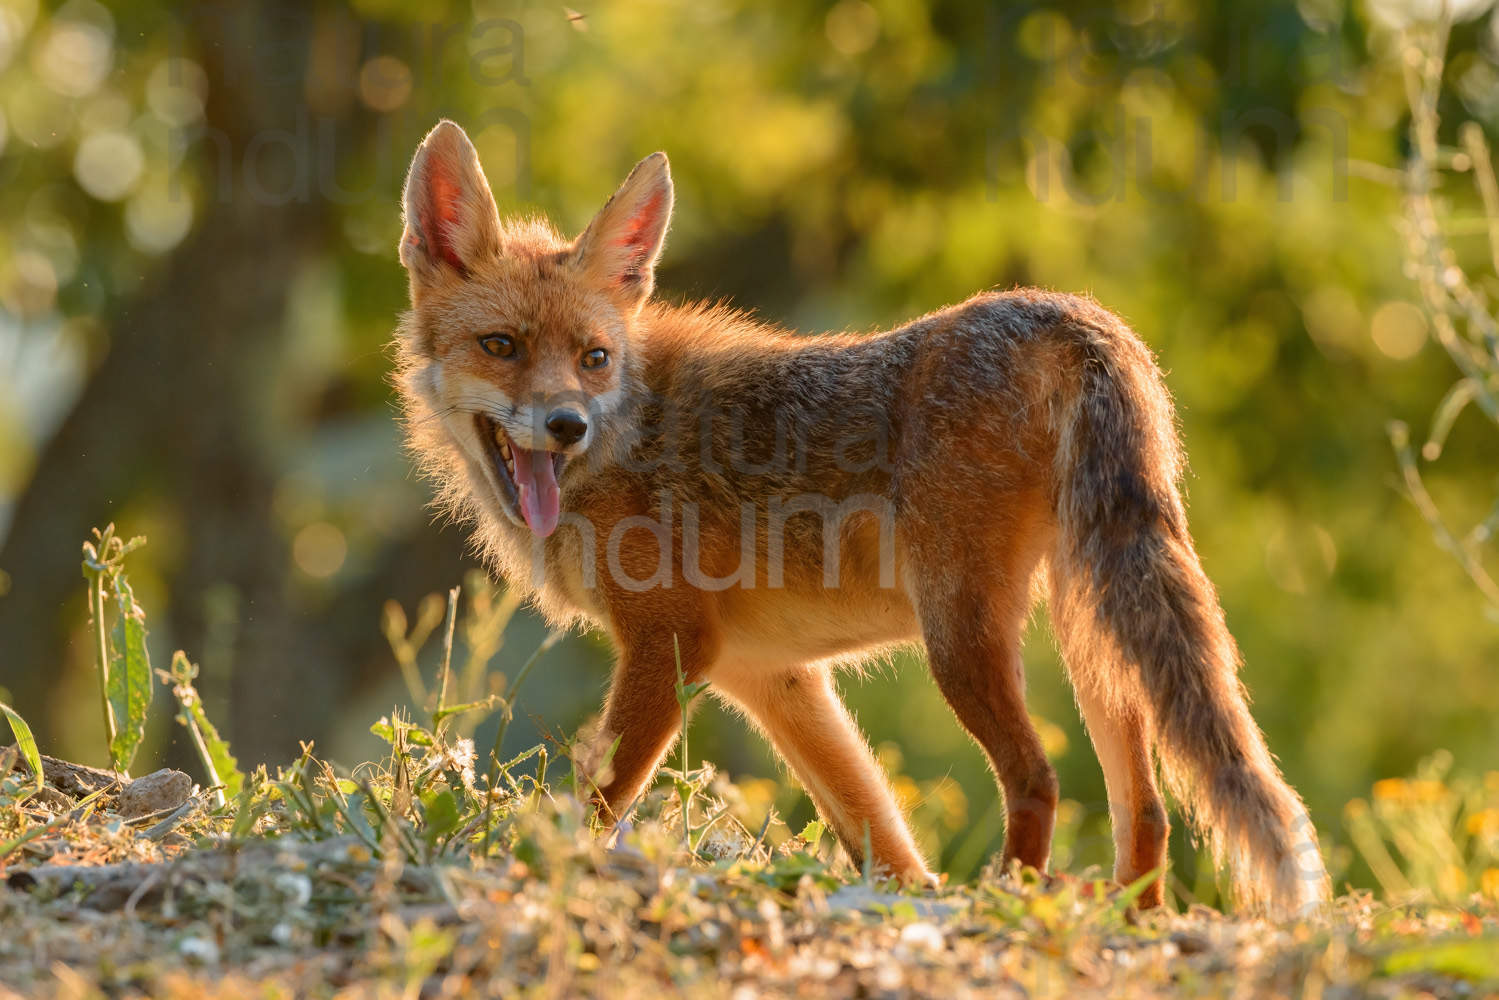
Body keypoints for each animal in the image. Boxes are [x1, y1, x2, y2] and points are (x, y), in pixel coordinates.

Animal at [392, 121, 1331, 917]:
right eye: (502, 347)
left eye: (592, 359)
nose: (565, 426)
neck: (628, 433)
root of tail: (1062, 309)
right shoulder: (767, 675)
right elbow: (876, 830)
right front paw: (907, 896)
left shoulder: (670, 648)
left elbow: (593, 805)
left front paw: (523, 873)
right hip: (1089, 636)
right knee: (1146, 809)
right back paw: (1130, 920)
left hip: (961, 636)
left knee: (1037, 779)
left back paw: (1005, 902)